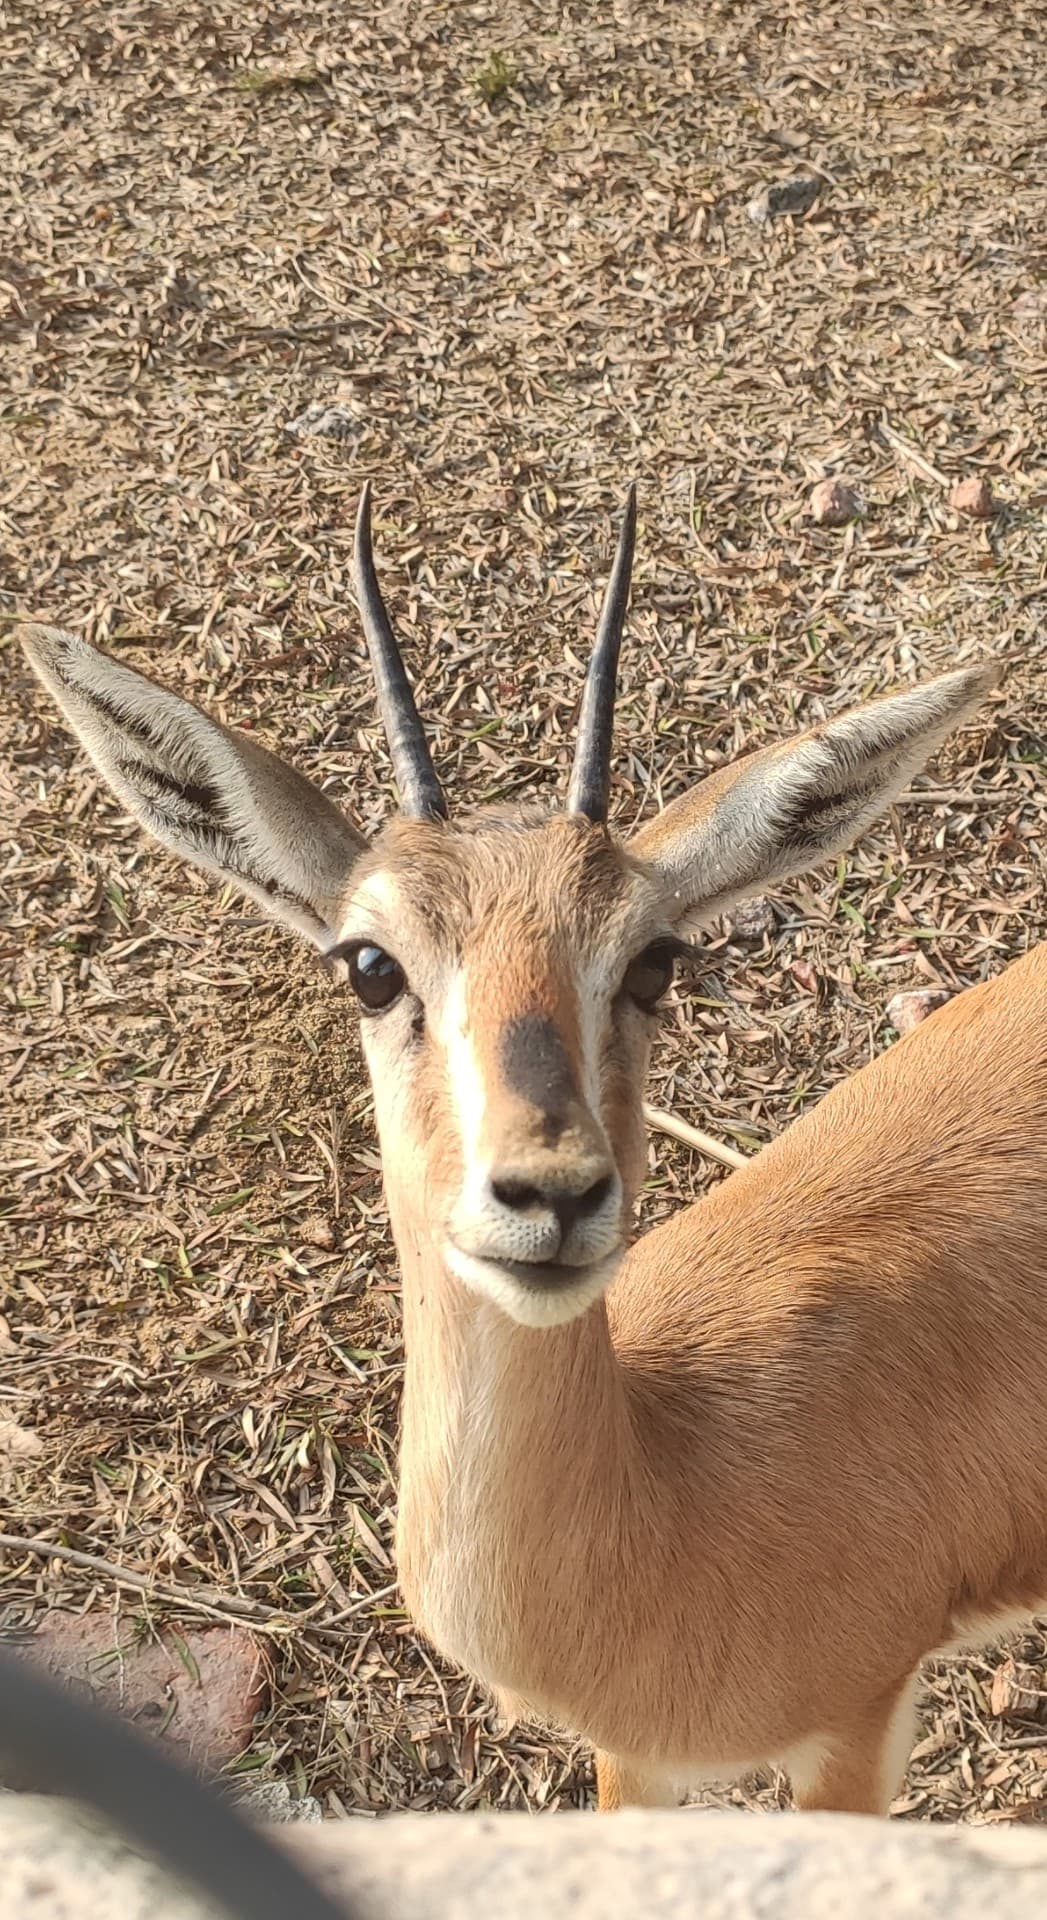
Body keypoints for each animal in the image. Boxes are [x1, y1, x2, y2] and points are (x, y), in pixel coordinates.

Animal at [19, 486, 1047, 1819]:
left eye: (655, 960)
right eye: (369, 964)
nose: (550, 1195)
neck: (668, 1498)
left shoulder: (855, 1732)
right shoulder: (633, 1756)